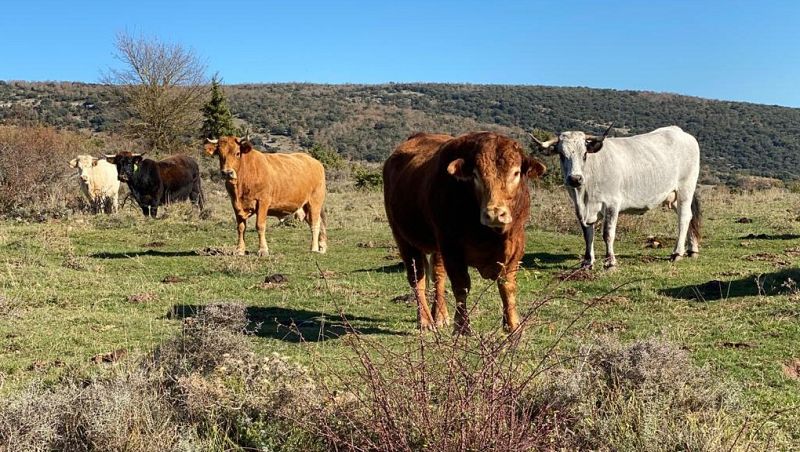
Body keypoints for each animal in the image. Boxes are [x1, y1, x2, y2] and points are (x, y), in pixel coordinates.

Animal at [383, 132, 546, 334]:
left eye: (516, 173)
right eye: (475, 175)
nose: (494, 213)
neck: (490, 236)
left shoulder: (516, 245)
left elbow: (507, 286)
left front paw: (512, 324)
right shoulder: (452, 248)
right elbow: (461, 286)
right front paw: (462, 327)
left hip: (437, 248)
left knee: (438, 277)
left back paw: (440, 316)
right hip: (404, 239)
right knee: (417, 279)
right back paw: (425, 320)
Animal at [531, 125, 701, 269]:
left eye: (584, 154)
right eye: (561, 154)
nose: (575, 179)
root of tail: (681, 132)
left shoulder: (612, 204)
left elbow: (608, 233)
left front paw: (610, 261)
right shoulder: (579, 209)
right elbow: (587, 234)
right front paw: (587, 261)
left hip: (685, 189)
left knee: (684, 217)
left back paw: (677, 253)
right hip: (673, 195)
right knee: (690, 216)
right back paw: (692, 250)